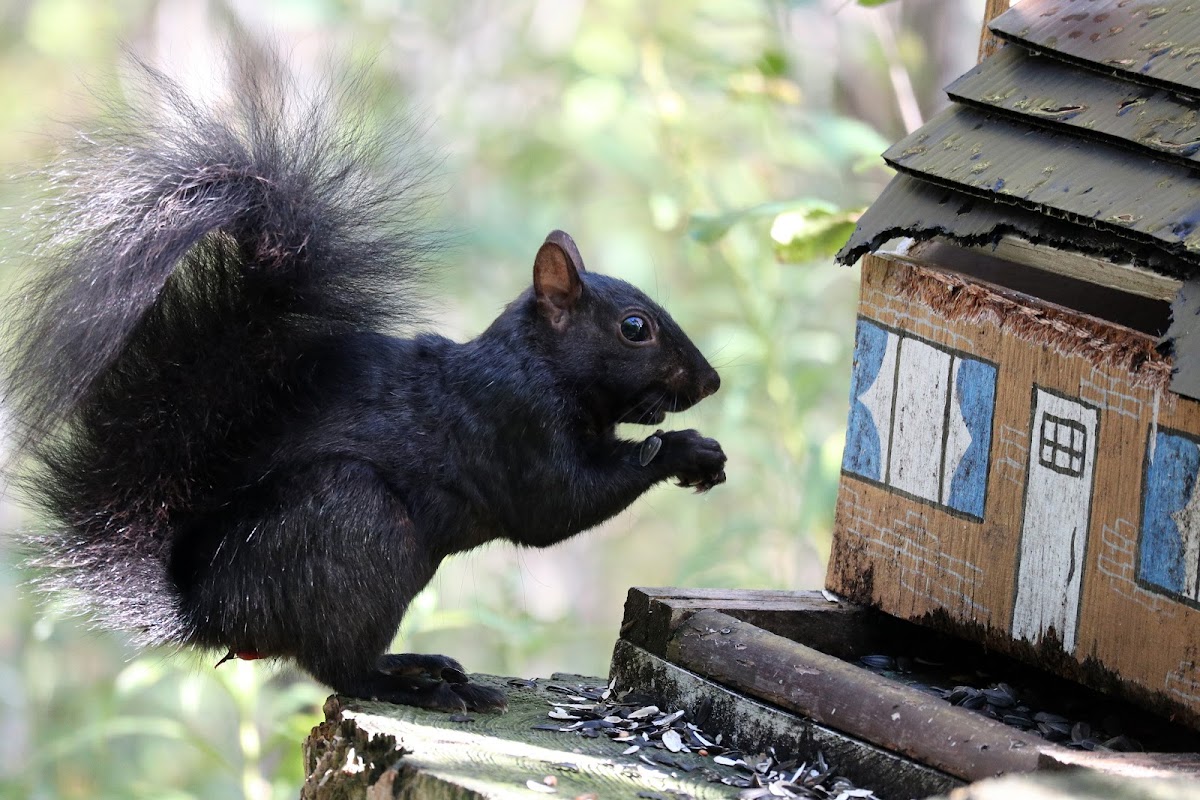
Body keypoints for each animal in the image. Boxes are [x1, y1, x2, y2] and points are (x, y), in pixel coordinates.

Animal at [2, 53, 720, 710]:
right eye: (634, 328)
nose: (709, 382)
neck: (536, 363)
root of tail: (210, 613)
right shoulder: (510, 423)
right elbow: (557, 504)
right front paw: (685, 450)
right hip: (357, 529)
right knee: (337, 666)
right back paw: (417, 687)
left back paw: (417, 666)